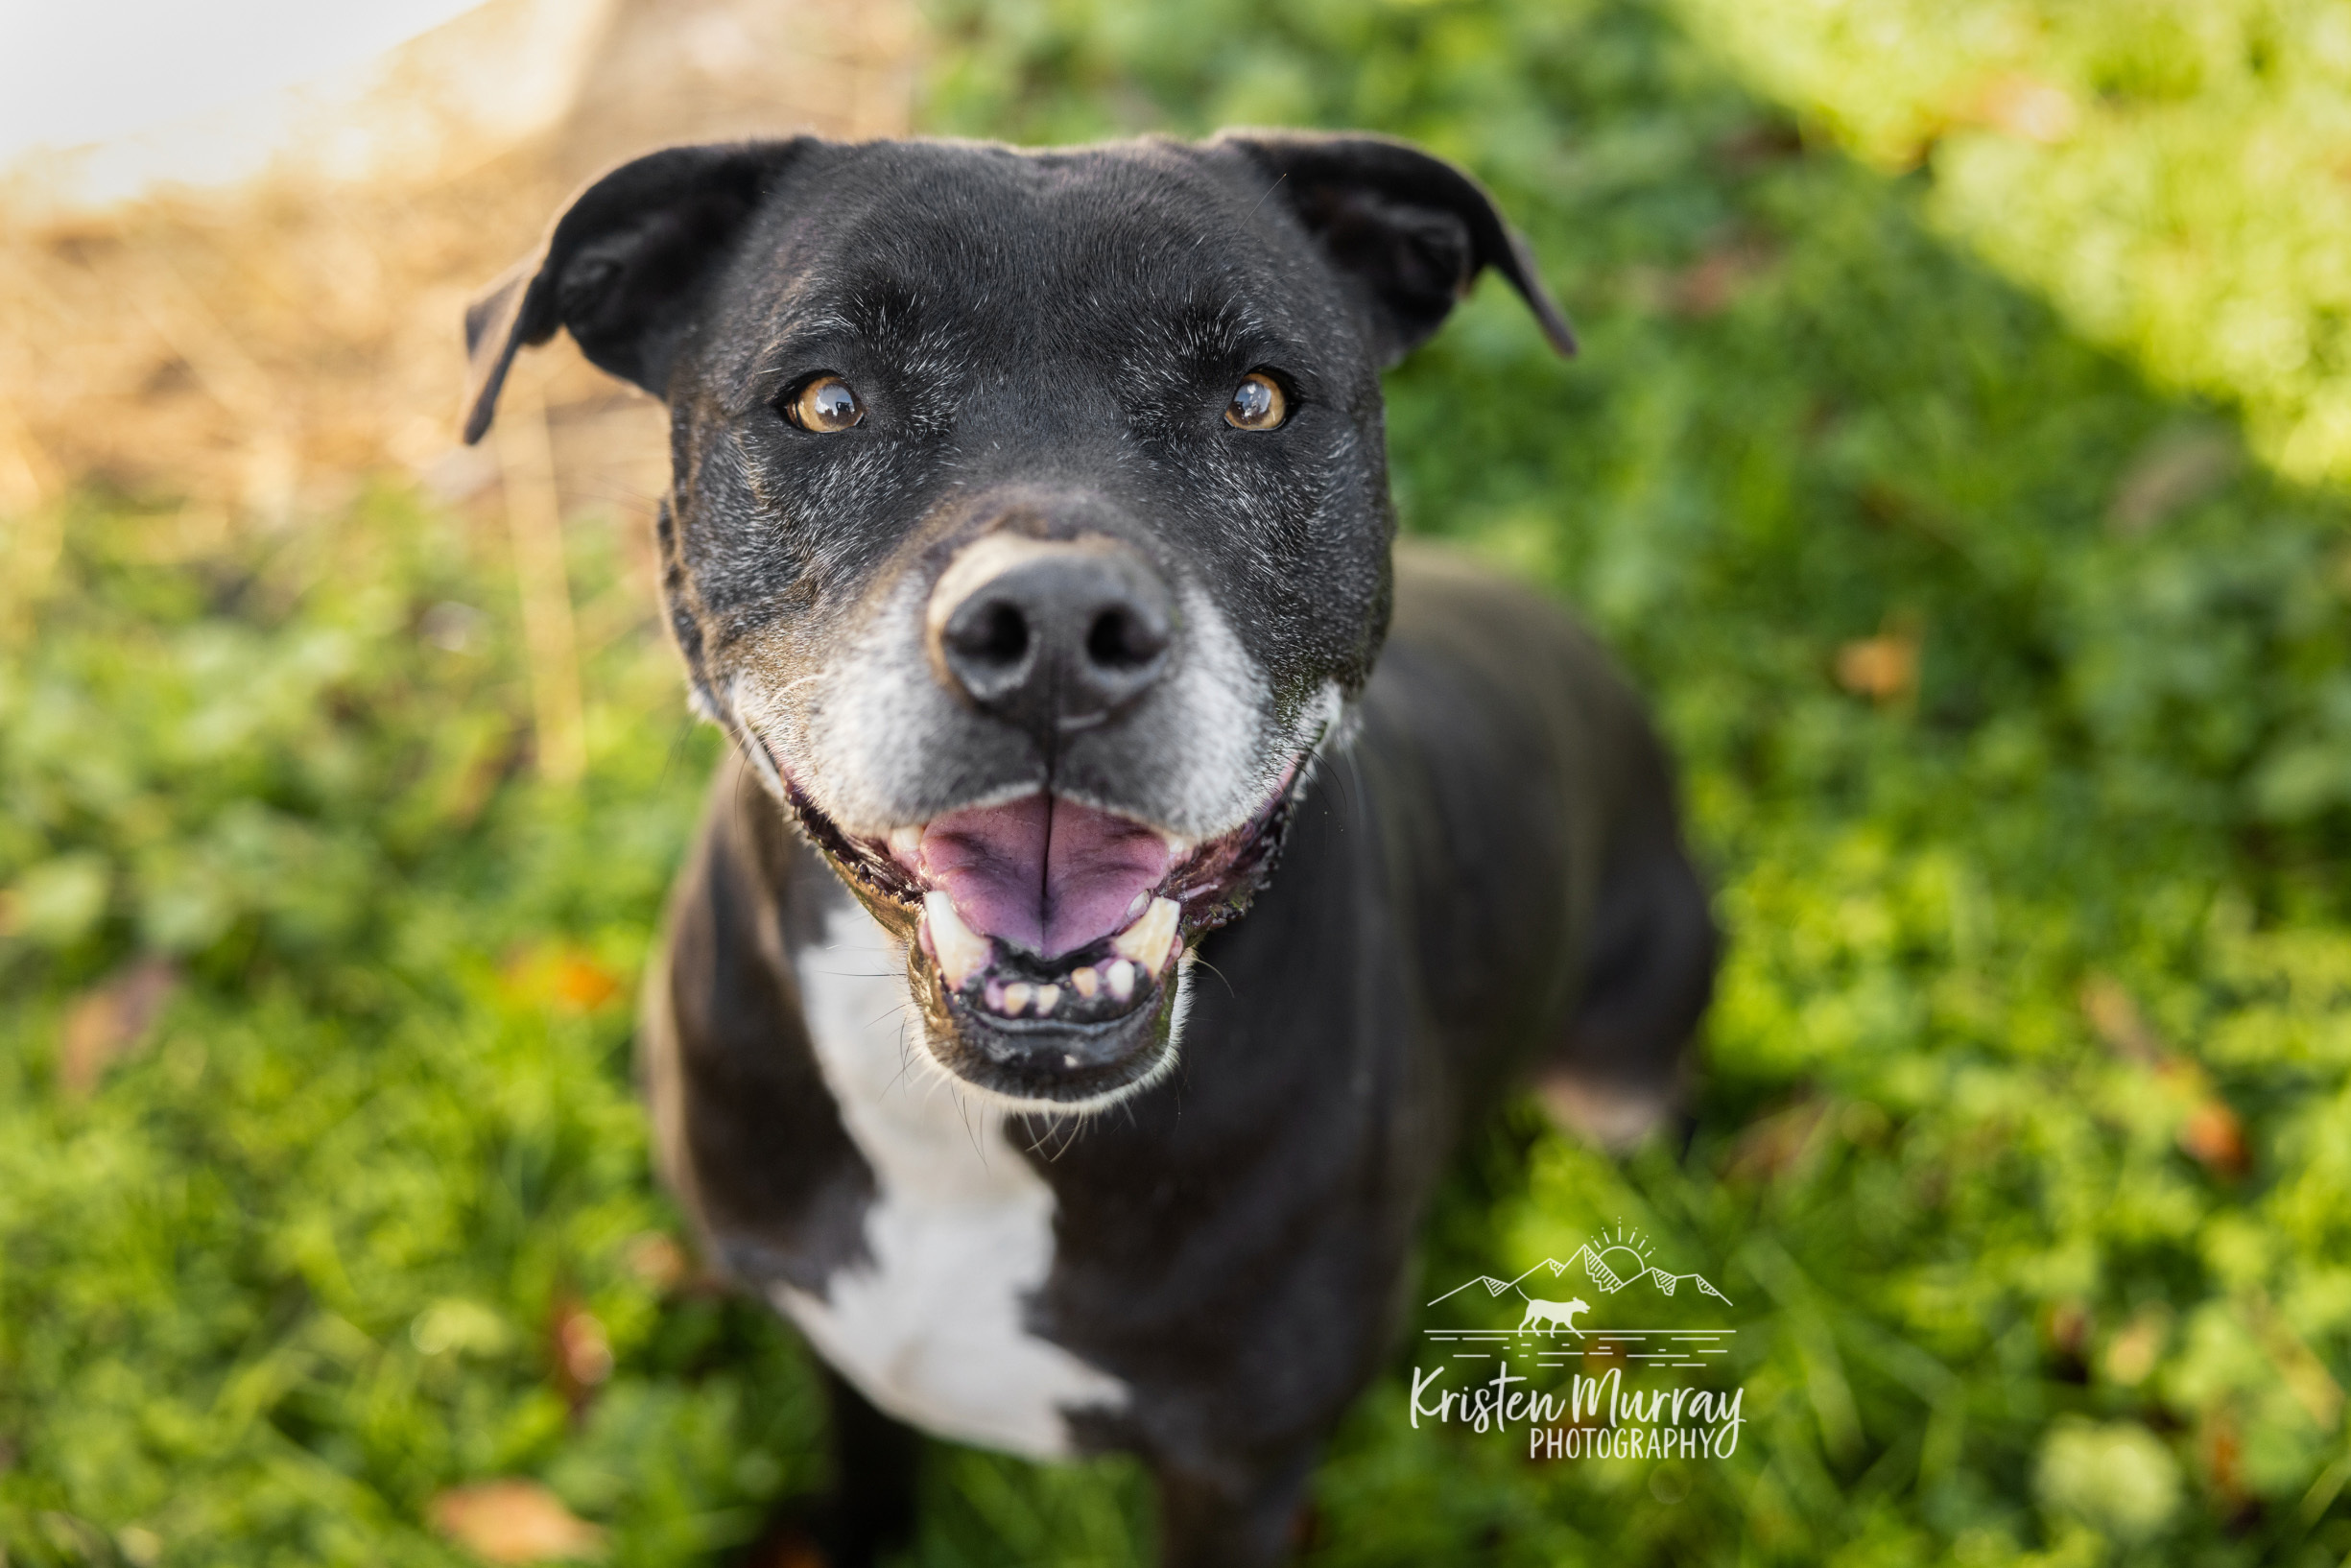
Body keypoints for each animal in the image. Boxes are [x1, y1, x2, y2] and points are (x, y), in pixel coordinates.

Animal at [458, 131, 1721, 1568]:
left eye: (1254, 401)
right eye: (825, 402)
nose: (1056, 629)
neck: (970, 1130)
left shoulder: (1239, 1465)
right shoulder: (836, 1343)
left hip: (1617, 1071)